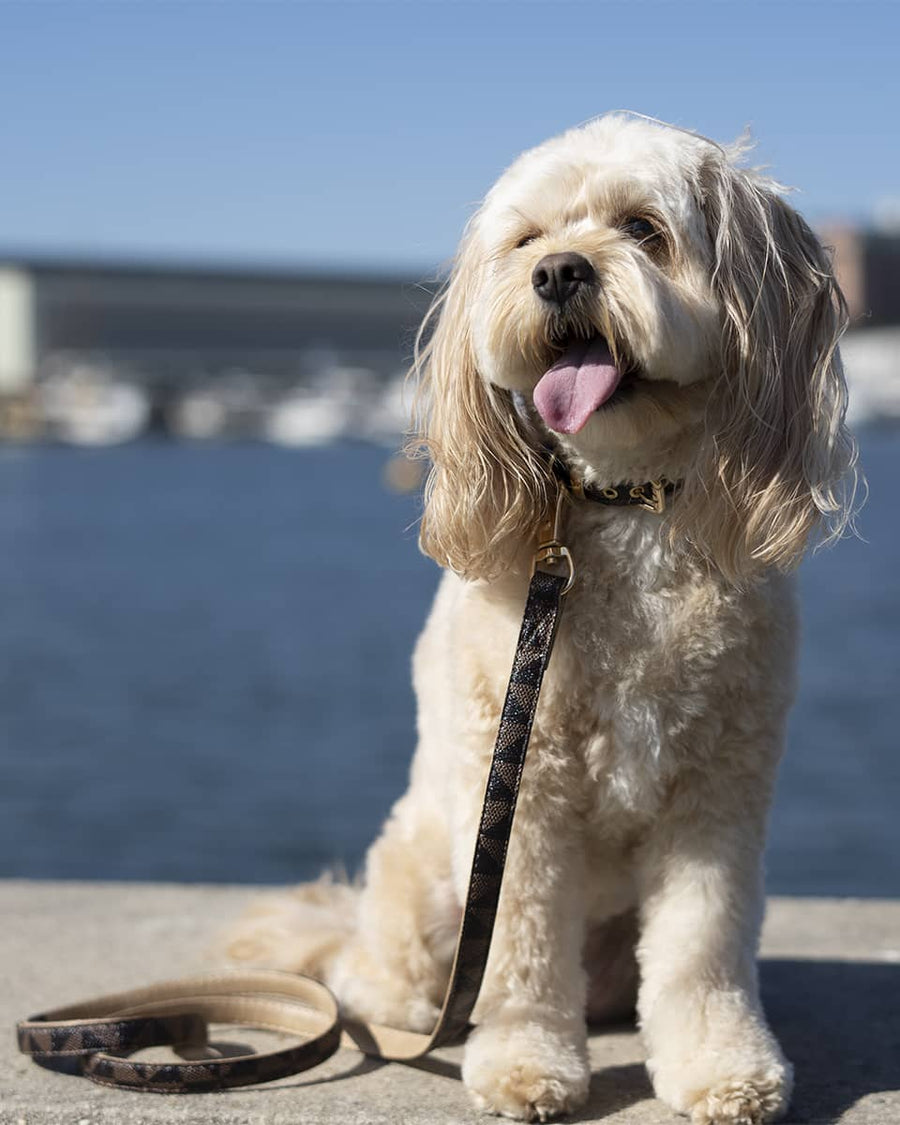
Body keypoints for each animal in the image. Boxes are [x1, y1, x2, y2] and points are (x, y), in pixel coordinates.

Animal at [228, 116, 855, 1125]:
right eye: (526, 241)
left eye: (643, 228)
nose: (560, 272)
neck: (627, 500)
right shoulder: (522, 792)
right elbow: (518, 945)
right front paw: (525, 1062)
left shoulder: (718, 791)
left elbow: (702, 944)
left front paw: (720, 1065)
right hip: (425, 880)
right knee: (386, 974)